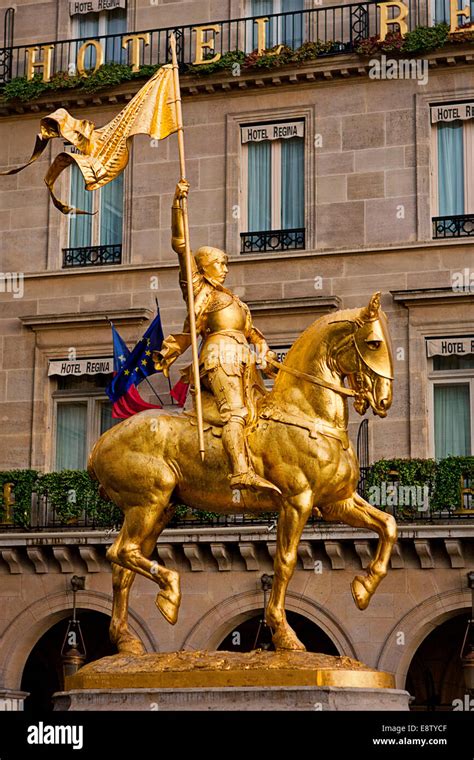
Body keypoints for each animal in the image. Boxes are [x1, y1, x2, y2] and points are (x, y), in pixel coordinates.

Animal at [89, 290, 396, 652]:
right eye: (374, 343)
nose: (385, 401)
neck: (307, 414)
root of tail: (99, 443)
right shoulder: (298, 501)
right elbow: (285, 561)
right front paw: (284, 633)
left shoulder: (337, 502)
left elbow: (388, 525)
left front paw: (363, 588)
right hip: (148, 502)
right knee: (120, 552)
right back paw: (171, 592)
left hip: (161, 509)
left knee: (123, 566)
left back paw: (128, 640)